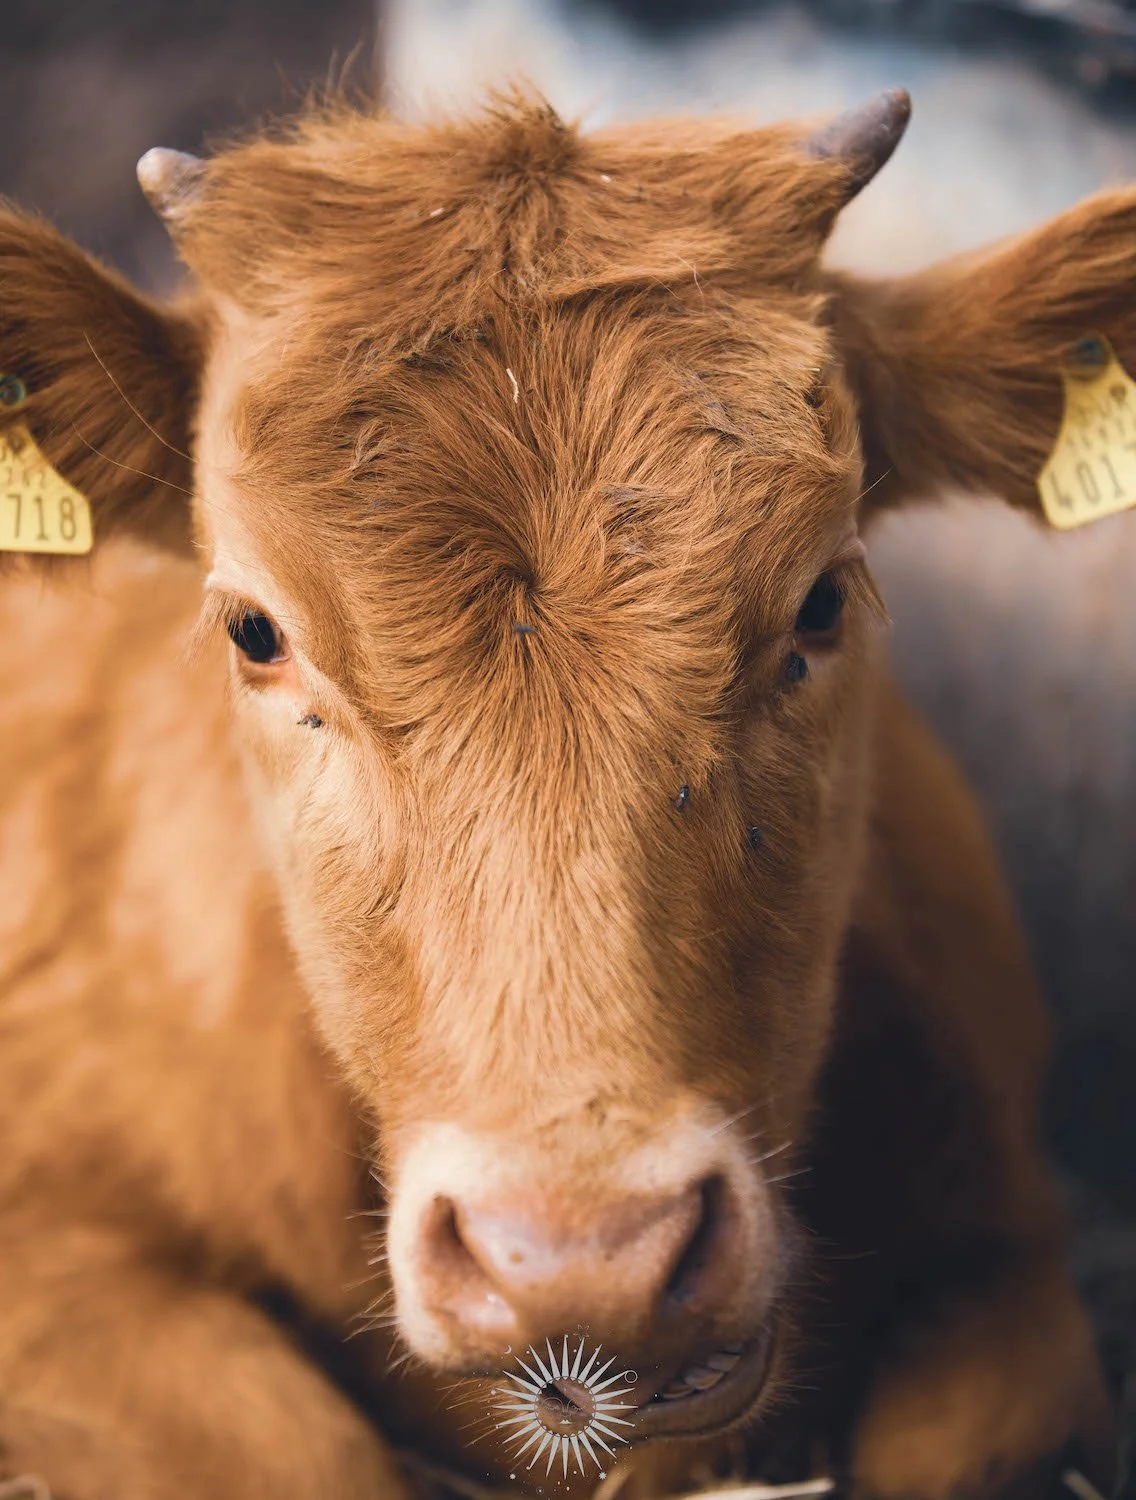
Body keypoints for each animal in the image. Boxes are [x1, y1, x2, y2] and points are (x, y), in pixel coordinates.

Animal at [0, 87, 1125, 1500]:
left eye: (821, 599)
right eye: (256, 631)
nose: (587, 1255)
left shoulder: (1010, 1242)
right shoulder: (46, 1254)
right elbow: (303, 1455)